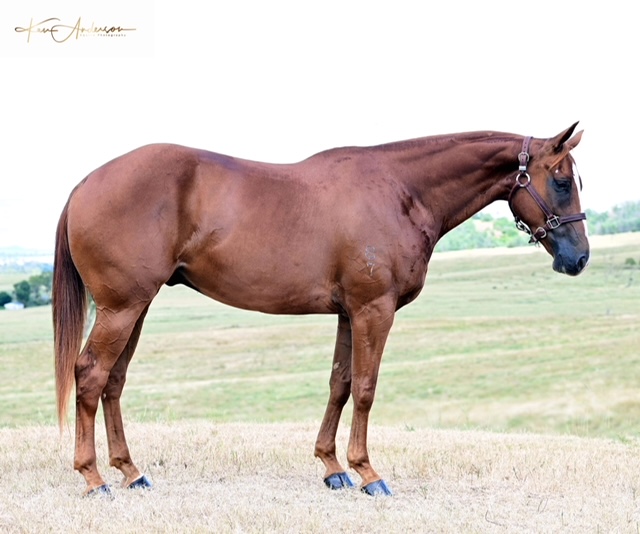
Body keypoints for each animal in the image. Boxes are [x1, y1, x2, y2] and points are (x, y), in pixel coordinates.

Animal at [52, 123, 589, 497]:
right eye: (563, 181)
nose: (578, 258)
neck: (400, 190)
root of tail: (85, 184)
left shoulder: (349, 313)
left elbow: (340, 384)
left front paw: (332, 468)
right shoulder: (374, 310)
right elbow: (367, 388)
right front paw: (368, 473)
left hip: (136, 308)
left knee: (113, 382)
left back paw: (131, 472)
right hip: (122, 309)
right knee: (91, 375)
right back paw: (93, 478)